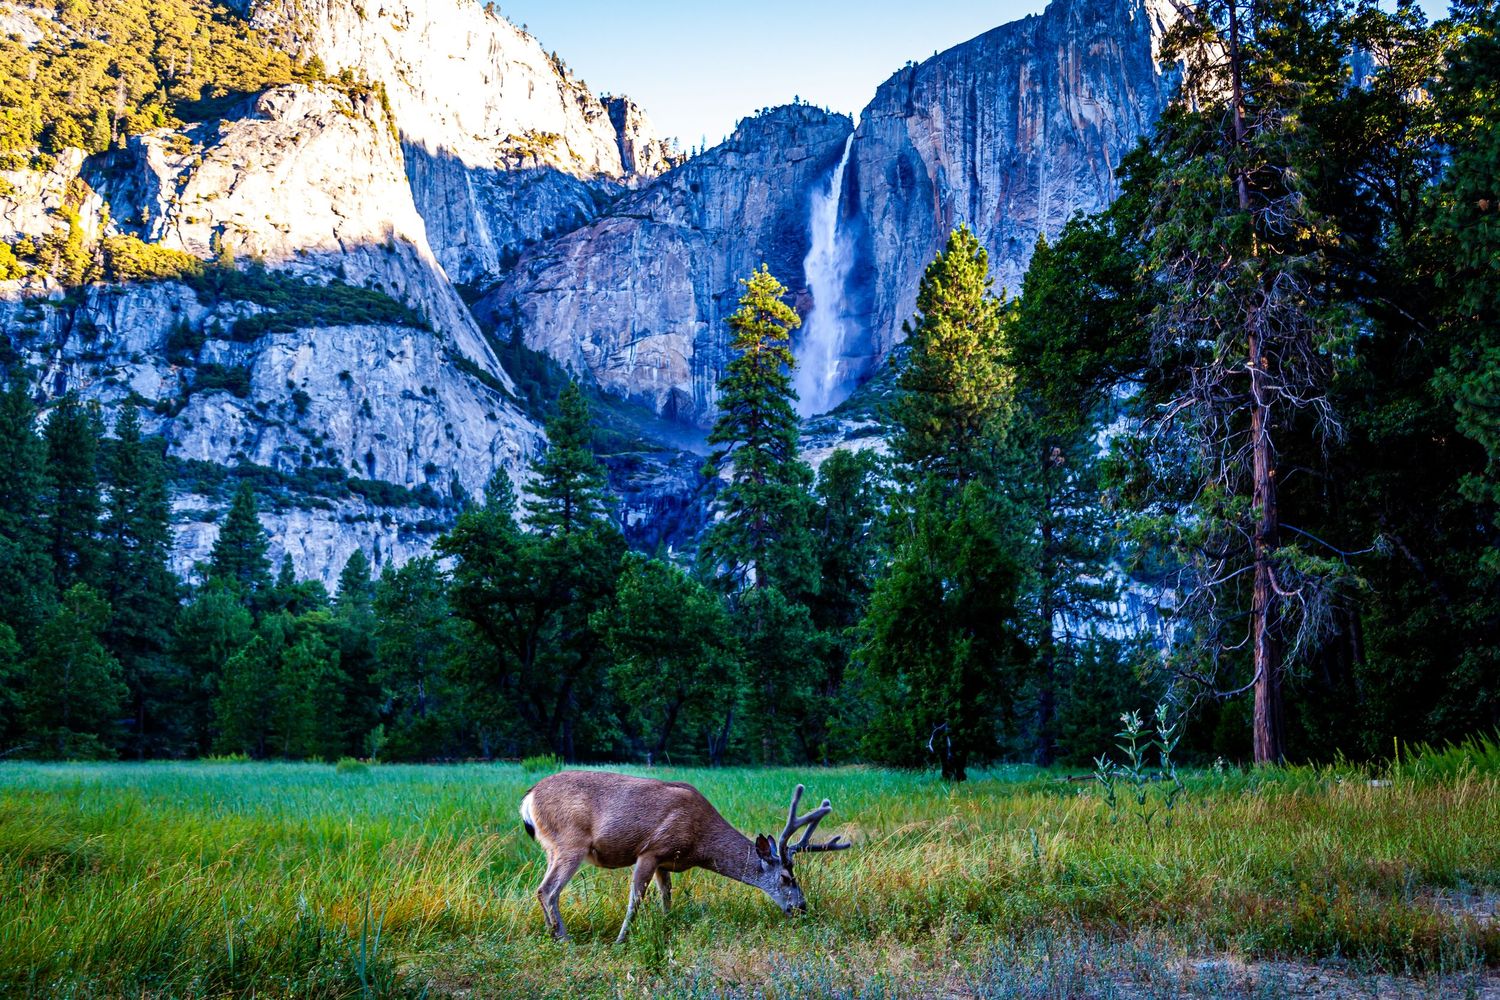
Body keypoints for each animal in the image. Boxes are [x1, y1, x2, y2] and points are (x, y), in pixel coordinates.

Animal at [518, 770, 852, 943]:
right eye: (785, 877)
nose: (802, 907)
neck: (699, 843)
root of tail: (528, 797)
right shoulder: (650, 849)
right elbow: (636, 899)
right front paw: (622, 940)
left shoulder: (666, 860)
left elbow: (667, 895)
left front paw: (666, 925)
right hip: (570, 842)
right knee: (548, 890)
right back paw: (564, 939)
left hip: (552, 848)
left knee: (541, 889)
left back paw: (552, 933)